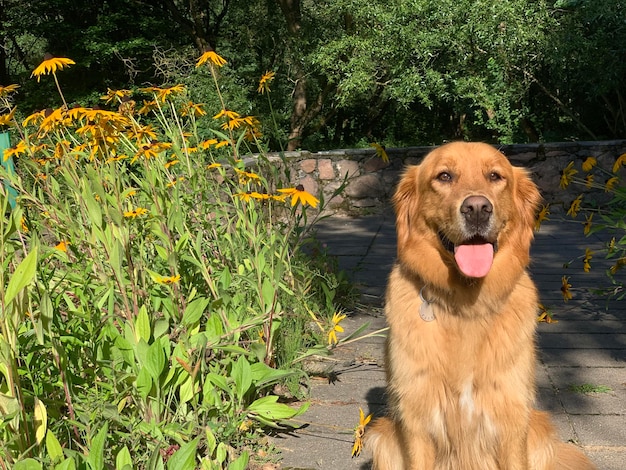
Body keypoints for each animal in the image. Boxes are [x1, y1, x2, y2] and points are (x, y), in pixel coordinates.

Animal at [366, 143, 596, 470]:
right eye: (444, 176)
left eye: (495, 176)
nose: (477, 208)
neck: (466, 304)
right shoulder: (415, 417)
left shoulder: (511, 413)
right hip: (383, 435)